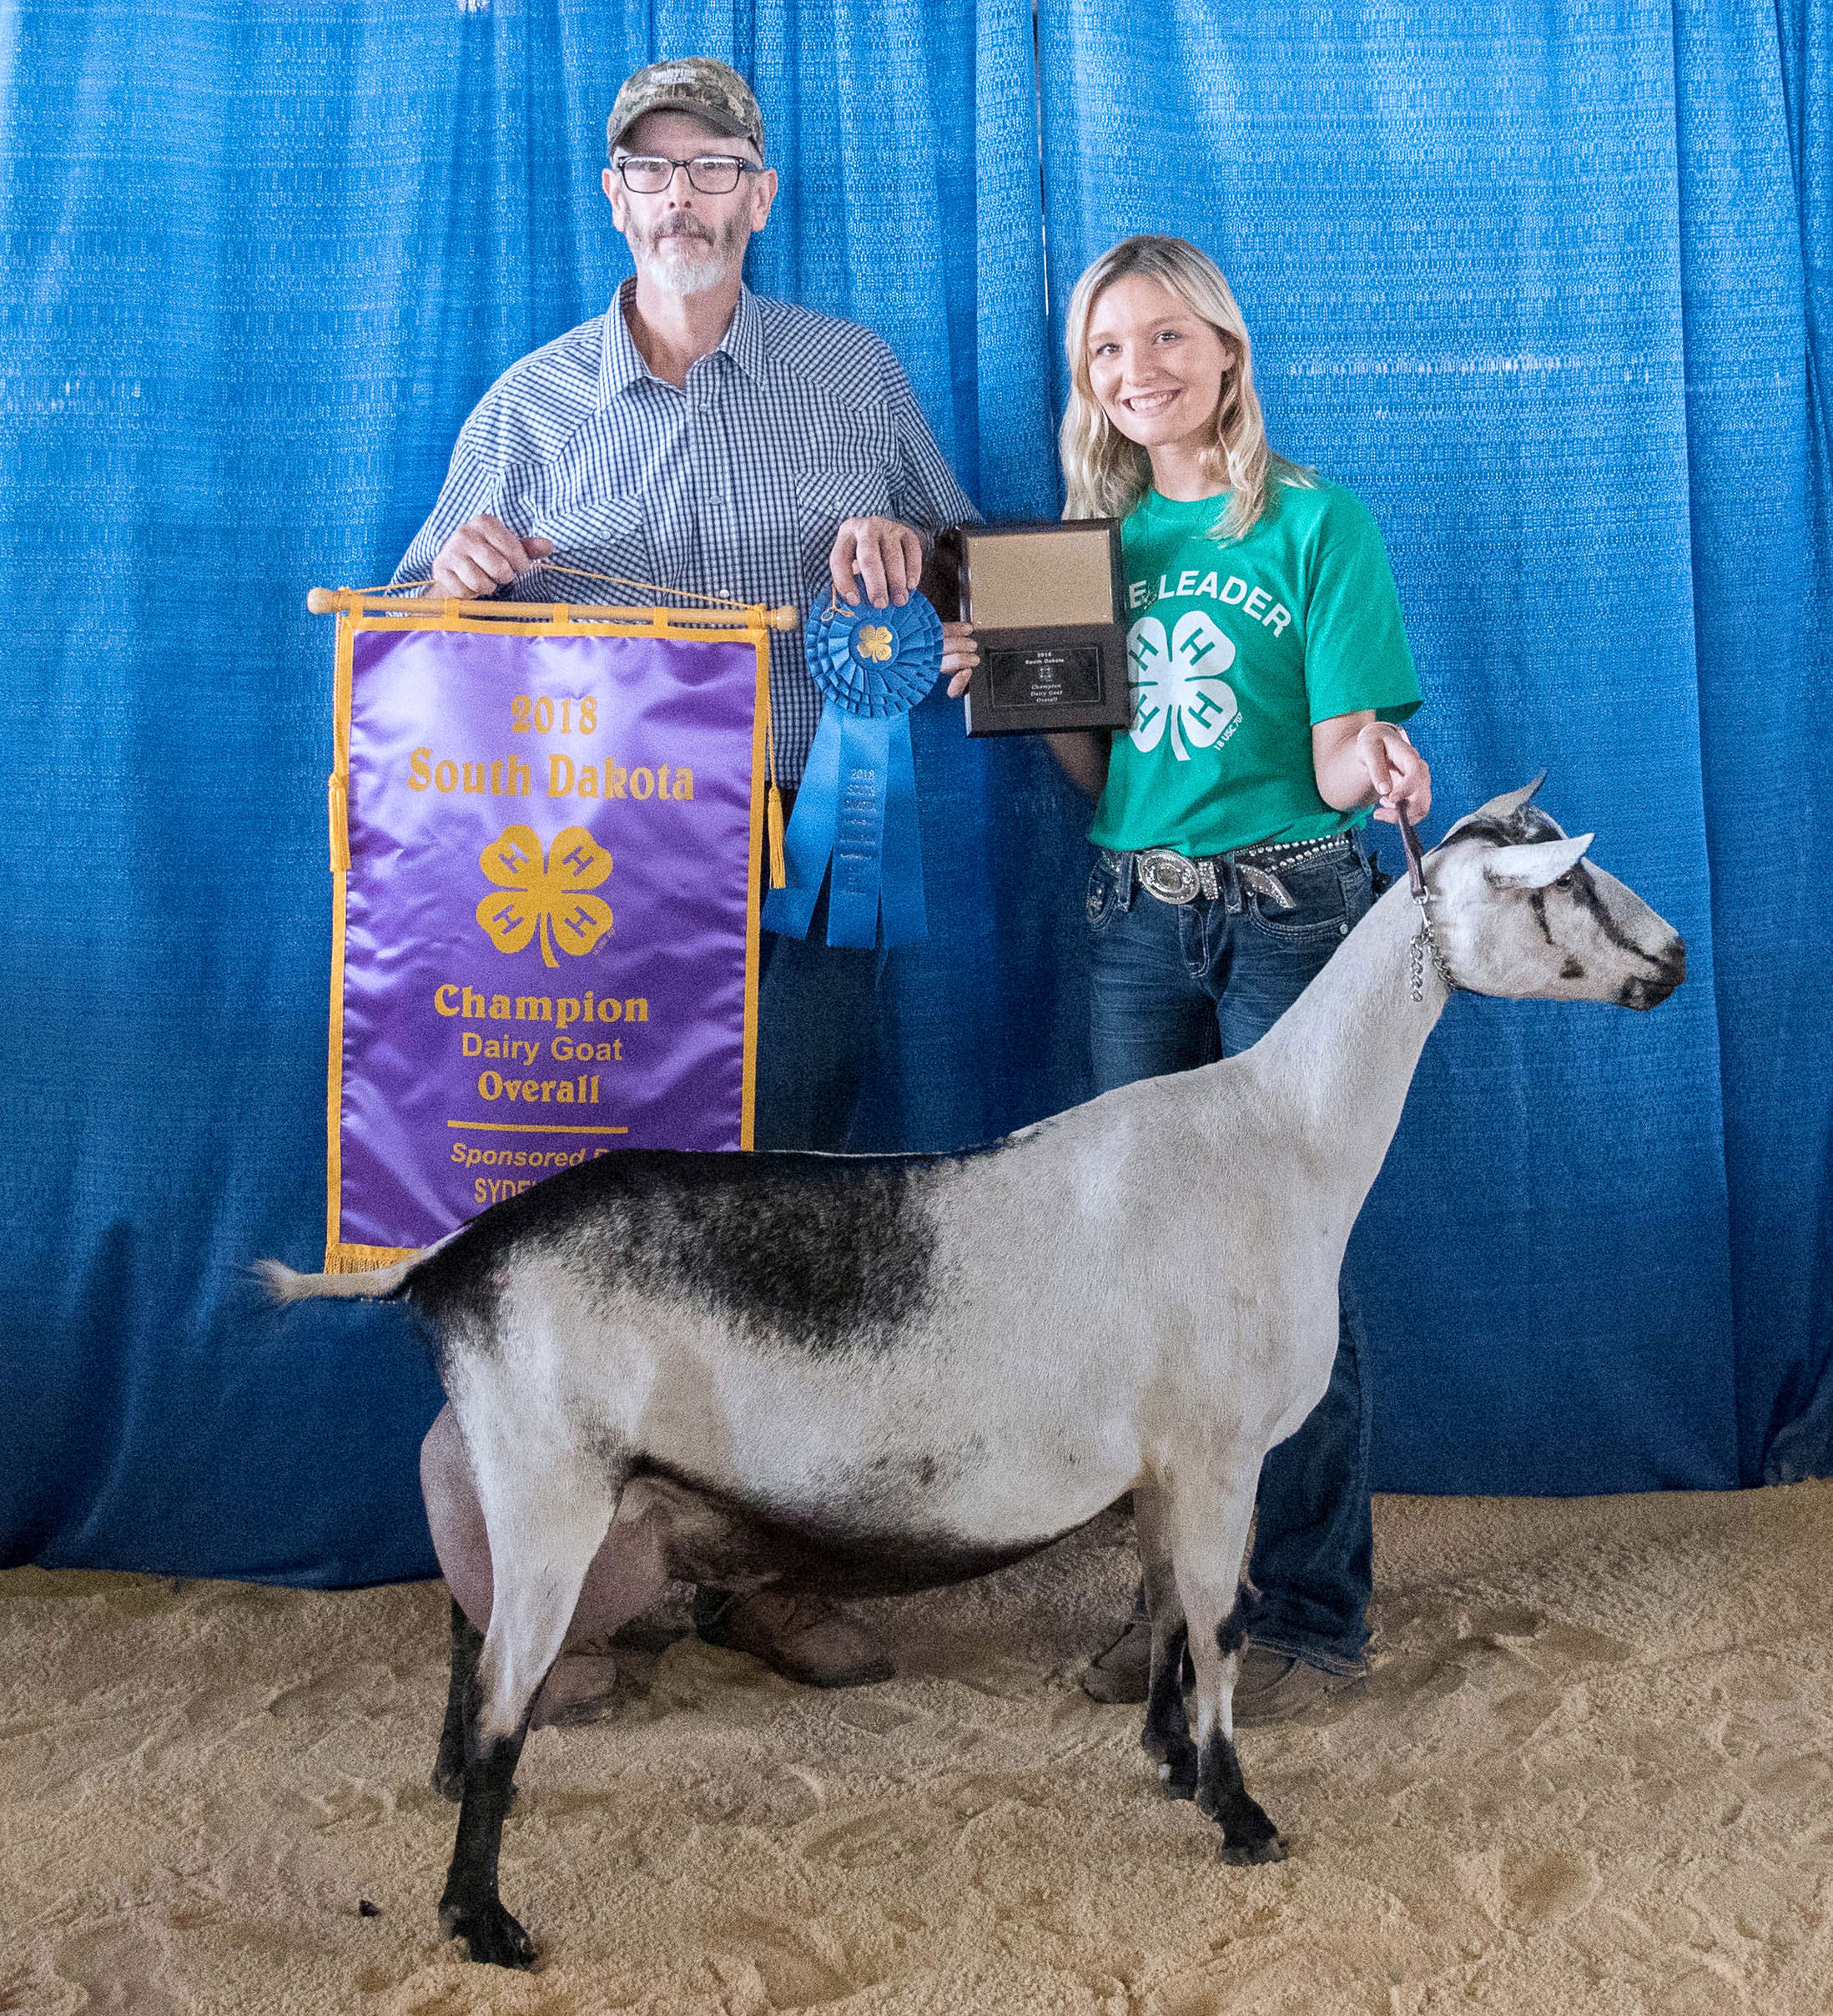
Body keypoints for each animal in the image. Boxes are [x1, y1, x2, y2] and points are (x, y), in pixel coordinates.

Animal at [259, 782, 1685, 1968]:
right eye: (1563, 884)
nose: (1673, 958)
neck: (1281, 1135)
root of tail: (450, 1261)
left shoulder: (1164, 1463)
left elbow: (1167, 1610)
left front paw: (1168, 1759)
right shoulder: (1220, 1449)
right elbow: (1217, 1623)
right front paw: (1241, 1816)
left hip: (499, 1483)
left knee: (466, 1638)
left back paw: (452, 1808)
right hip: (552, 1492)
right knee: (506, 1694)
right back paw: (486, 1922)